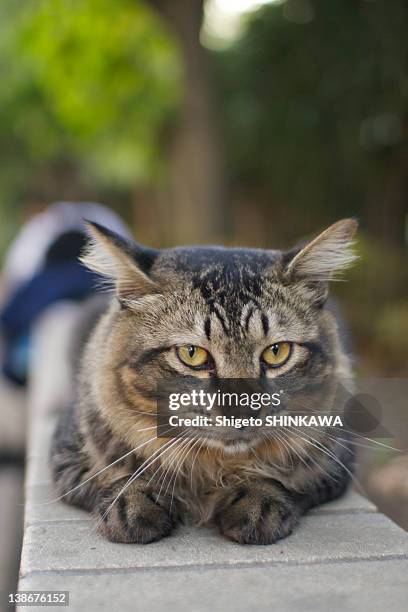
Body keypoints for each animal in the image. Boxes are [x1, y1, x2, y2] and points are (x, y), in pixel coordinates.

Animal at [50, 218, 356, 544]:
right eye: (192, 354)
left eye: (277, 352)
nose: (242, 414)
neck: (213, 468)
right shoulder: (68, 457)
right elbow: (118, 477)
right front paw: (132, 503)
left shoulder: (337, 462)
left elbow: (283, 480)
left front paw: (256, 501)